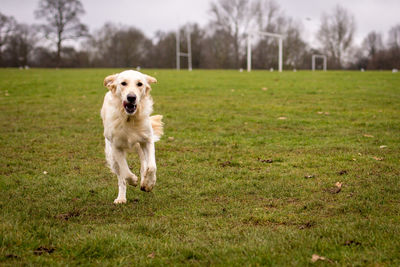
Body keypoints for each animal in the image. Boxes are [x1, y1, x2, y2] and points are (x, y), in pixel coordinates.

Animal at [101, 70, 163, 204]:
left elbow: (152, 166)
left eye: (140, 84)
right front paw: (133, 180)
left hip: (140, 147)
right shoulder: (116, 147)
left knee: (144, 165)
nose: (131, 97)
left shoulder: (147, 140)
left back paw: (144, 181)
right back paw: (121, 198)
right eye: (123, 83)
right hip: (112, 157)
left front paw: (149, 183)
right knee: (121, 178)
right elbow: (125, 172)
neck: (129, 118)